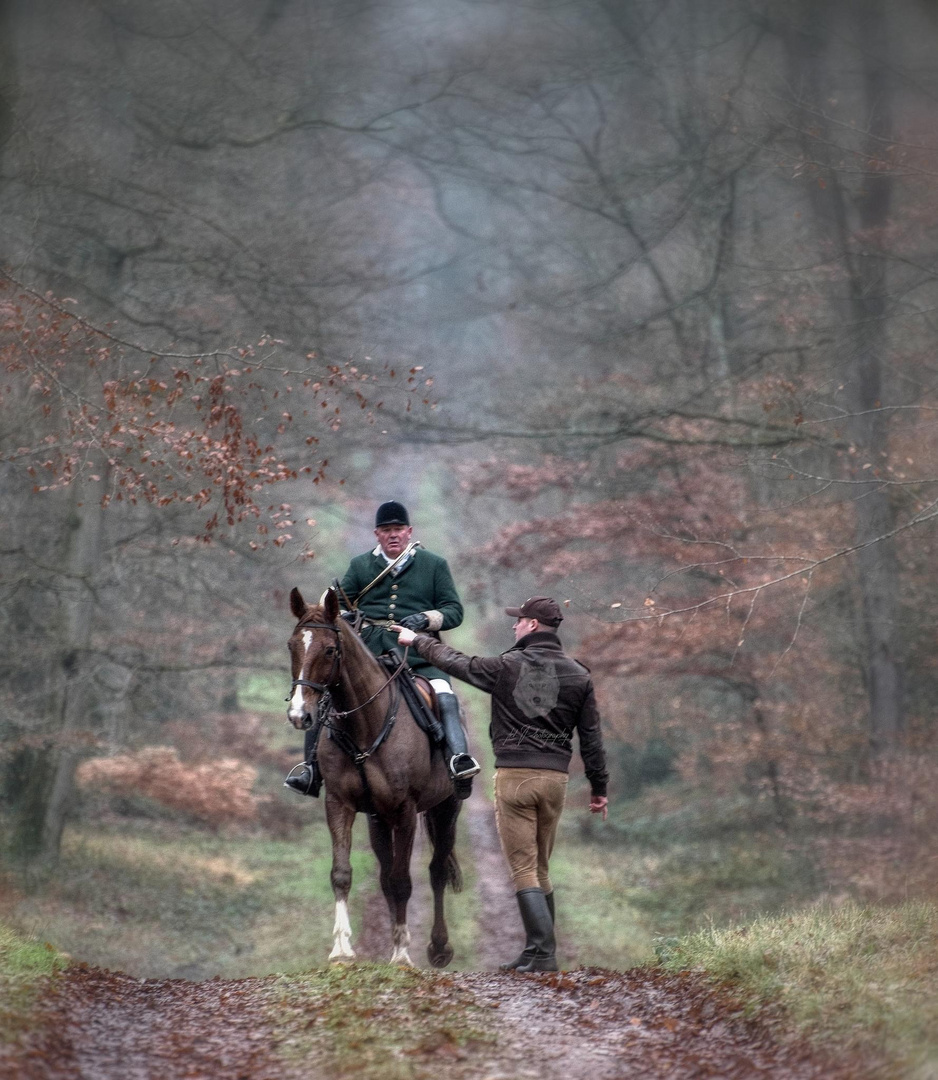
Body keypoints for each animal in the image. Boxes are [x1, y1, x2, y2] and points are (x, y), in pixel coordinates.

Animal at [284, 587, 461, 967]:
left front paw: (402, 954)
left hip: (446, 808)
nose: (299, 715)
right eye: (291, 645)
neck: (365, 724)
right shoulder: (339, 804)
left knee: (436, 871)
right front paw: (341, 949)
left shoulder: (407, 810)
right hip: (379, 819)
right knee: (385, 876)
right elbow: (342, 874)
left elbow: (404, 880)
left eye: (330, 649)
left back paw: (438, 947)